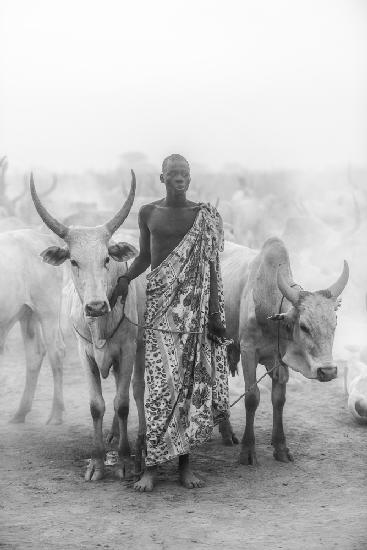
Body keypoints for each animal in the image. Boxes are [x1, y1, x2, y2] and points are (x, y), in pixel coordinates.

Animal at [0, 227, 65, 422]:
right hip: (26, 312)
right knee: (35, 353)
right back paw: (21, 412)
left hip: (48, 309)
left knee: (56, 352)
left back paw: (56, 414)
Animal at [30, 172, 147, 484]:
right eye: (73, 260)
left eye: (106, 259)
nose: (95, 306)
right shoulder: (85, 354)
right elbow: (97, 405)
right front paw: (96, 462)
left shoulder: (127, 350)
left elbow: (122, 403)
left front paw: (123, 461)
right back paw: (114, 434)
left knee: (136, 390)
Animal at [223, 237, 350, 466]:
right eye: (304, 326)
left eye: (335, 324)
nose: (328, 371)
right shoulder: (248, 351)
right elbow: (252, 397)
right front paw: (248, 451)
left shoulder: (279, 357)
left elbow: (279, 399)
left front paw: (281, 447)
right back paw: (227, 433)